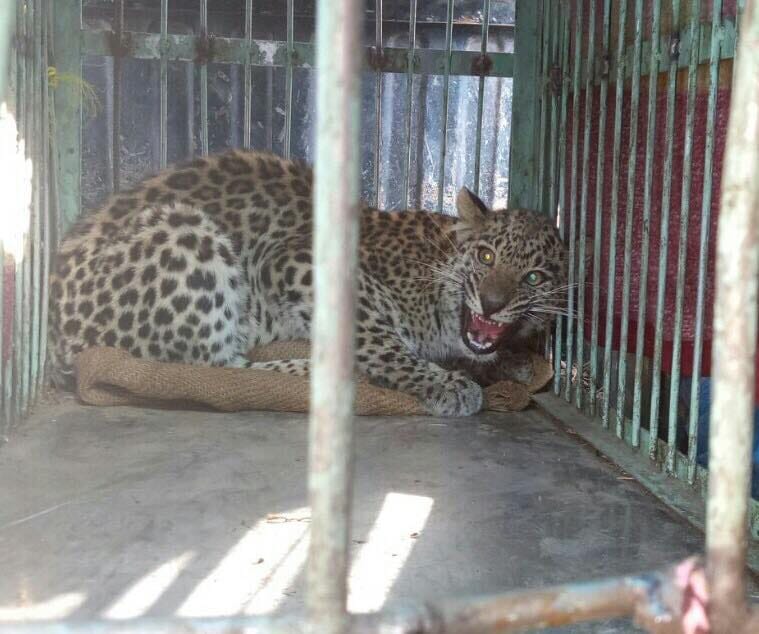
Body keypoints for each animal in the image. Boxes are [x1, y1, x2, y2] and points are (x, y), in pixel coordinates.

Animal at [48, 149, 568, 417]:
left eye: (534, 277)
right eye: (485, 257)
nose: (492, 302)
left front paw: (515, 364)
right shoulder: (293, 260)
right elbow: (380, 340)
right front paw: (446, 384)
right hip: (184, 232)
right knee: (213, 366)